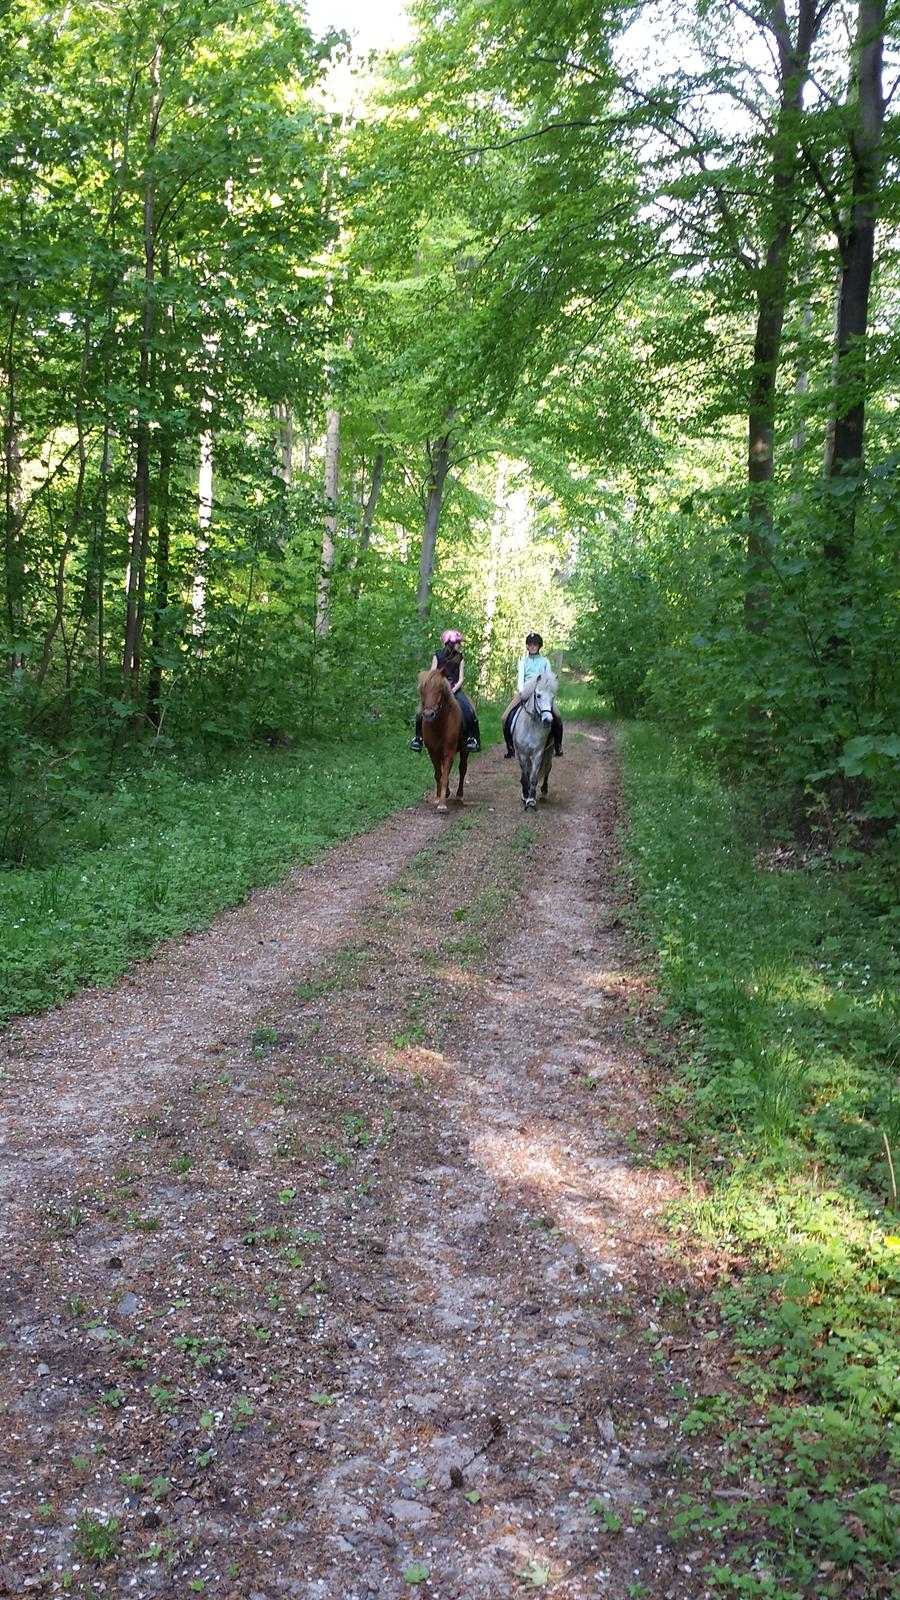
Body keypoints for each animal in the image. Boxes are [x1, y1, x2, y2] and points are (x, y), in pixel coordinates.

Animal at [416, 668, 464, 812]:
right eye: (422, 690)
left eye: (439, 690)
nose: (428, 714)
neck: (439, 724)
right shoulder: (433, 752)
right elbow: (438, 774)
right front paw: (438, 797)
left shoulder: (449, 751)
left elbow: (444, 777)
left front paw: (442, 804)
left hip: (465, 750)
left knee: (462, 769)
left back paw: (459, 794)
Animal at [512, 668, 554, 806]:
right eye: (538, 695)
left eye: (553, 697)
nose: (548, 720)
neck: (531, 726)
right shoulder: (522, 753)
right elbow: (525, 776)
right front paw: (525, 795)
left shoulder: (538, 753)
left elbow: (534, 778)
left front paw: (531, 800)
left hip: (550, 750)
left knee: (547, 769)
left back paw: (544, 792)